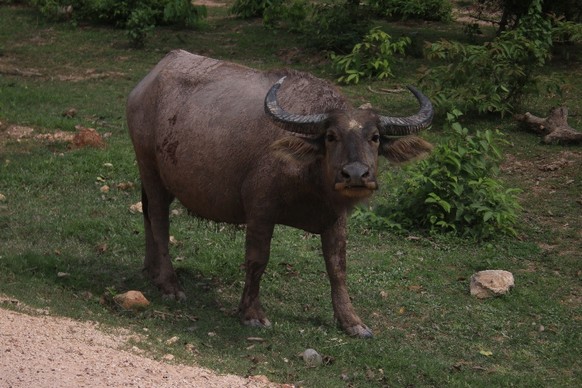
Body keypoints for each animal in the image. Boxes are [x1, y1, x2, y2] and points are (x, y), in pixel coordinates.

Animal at [129, 50, 438, 336]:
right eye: (331, 136)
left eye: (374, 137)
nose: (355, 175)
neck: (311, 178)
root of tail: (146, 83)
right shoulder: (260, 211)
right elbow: (257, 260)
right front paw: (251, 313)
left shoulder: (336, 219)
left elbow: (338, 267)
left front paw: (352, 321)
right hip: (149, 168)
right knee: (159, 220)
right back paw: (170, 284)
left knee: (147, 215)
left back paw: (151, 271)